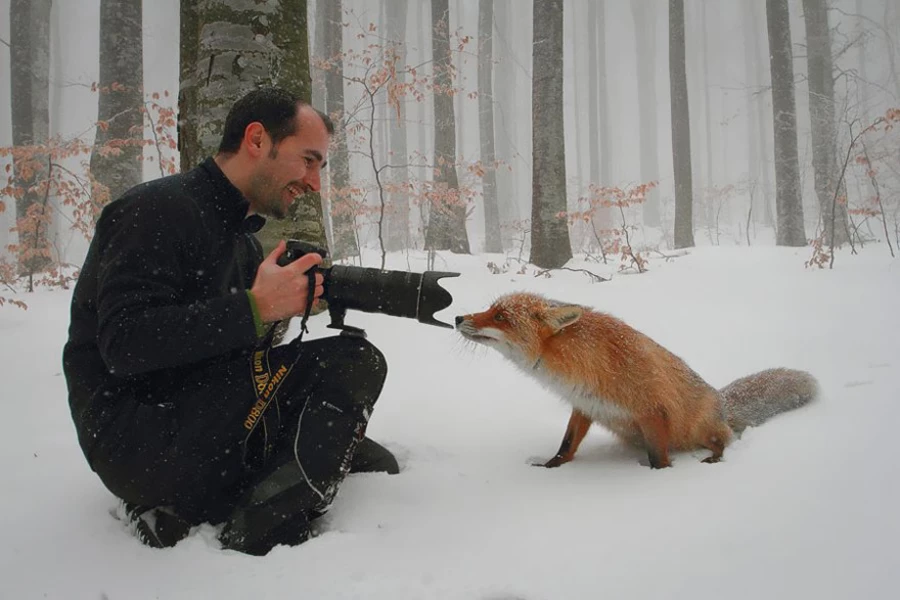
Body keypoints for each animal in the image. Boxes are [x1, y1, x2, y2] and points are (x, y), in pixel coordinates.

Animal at [454, 292, 820, 468]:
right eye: (490, 309)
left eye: (500, 316)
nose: (457, 317)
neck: (583, 362)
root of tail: (722, 401)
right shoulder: (585, 405)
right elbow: (566, 445)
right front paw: (550, 468)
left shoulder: (652, 410)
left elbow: (659, 458)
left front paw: (658, 480)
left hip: (700, 428)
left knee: (725, 440)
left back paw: (715, 458)